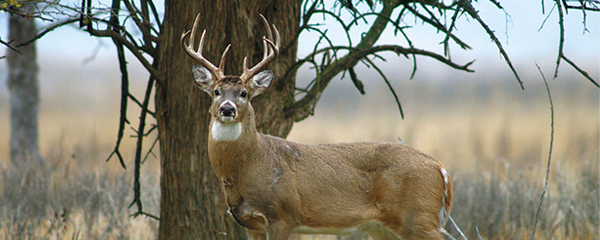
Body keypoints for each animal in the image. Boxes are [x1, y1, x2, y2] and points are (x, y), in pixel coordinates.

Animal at [180, 13, 452, 240]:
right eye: (216, 92)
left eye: (244, 93)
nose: (227, 109)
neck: (250, 164)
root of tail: (441, 169)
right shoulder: (250, 223)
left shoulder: (282, 215)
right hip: (383, 227)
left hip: (417, 216)